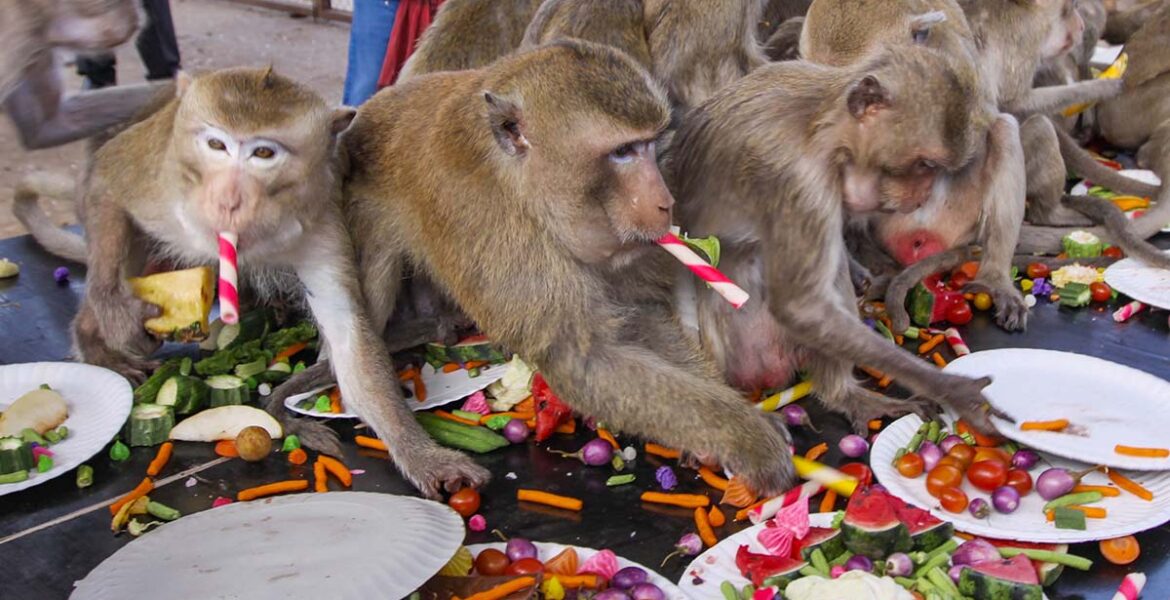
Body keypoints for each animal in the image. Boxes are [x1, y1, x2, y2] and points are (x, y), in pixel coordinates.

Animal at [63, 67, 488, 498]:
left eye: (264, 154)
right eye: (216, 145)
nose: (228, 200)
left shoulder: (322, 223)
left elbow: (349, 340)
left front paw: (422, 456)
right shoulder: (163, 187)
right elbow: (107, 183)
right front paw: (113, 316)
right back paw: (95, 341)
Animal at [341, 40, 797, 495]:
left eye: (650, 145)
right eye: (622, 152)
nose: (665, 202)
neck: (524, 191)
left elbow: (642, 316)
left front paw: (727, 430)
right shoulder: (498, 230)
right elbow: (583, 359)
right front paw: (749, 441)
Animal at [668, 44, 1009, 435]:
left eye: (934, 169)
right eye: (925, 165)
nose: (921, 196)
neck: (822, 128)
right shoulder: (799, 181)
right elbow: (801, 307)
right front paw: (953, 389)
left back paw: (843, 393)